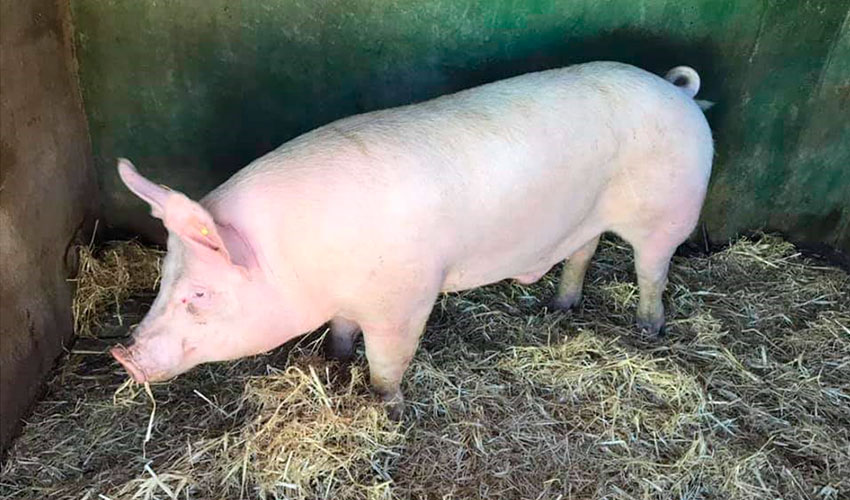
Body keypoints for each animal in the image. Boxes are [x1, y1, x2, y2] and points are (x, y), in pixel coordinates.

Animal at [109, 61, 712, 414]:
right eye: (164, 279)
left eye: (200, 294)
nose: (123, 353)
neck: (305, 260)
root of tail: (678, 92)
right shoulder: (351, 298)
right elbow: (342, 331)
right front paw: (334, 358)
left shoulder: (403, 300)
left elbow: (387, 362)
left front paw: (388, 408)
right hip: (584, 217)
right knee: (583, 251)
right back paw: (559, 307)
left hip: (670, 210)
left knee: (652, 268)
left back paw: (648, 329)